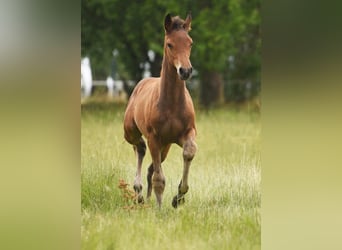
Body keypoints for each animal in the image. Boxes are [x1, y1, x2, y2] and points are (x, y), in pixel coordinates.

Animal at [123, 14, 198, 209]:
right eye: (170, 44)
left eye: (190, 43)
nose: (185, 71)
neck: (172, 104)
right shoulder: (154, 138)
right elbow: (159, 179)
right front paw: (159, 209)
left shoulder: (187, 133)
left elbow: (189, 152)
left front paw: (178, 197)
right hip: (131, 133)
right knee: (140, 148)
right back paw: (139, 192)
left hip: (166, 146)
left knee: (150, 166)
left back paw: (146, 198)